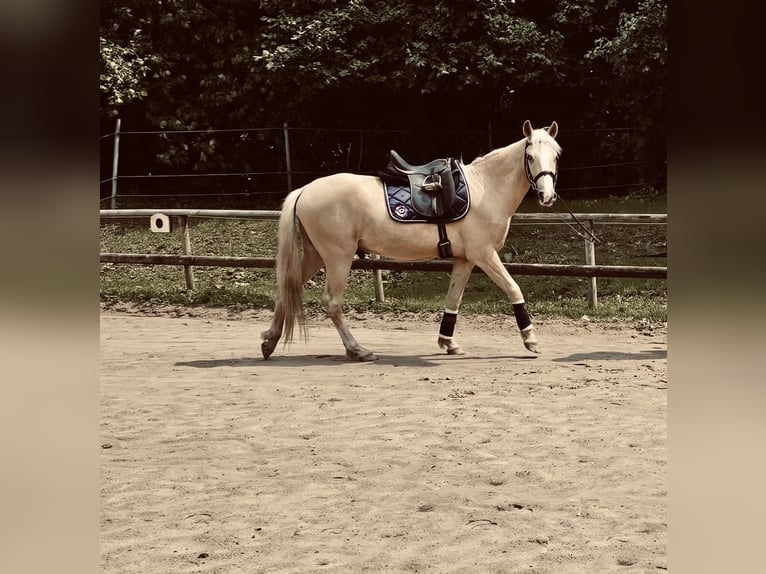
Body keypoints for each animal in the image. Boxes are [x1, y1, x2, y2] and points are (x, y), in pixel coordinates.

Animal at [261, 120, 561, 361]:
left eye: (556, 156)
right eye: (530, 157)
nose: (547, 196)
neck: (485, 188)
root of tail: (305, 190)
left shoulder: (465, 259)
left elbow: (453, 299)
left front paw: (448, 343)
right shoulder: (484, 256)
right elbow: (514, 289)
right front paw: (530, 340)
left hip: (316, 255)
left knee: (287, 288)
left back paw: (269, 341)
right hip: (338, 258)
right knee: (332, 303)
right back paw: (358, 350)